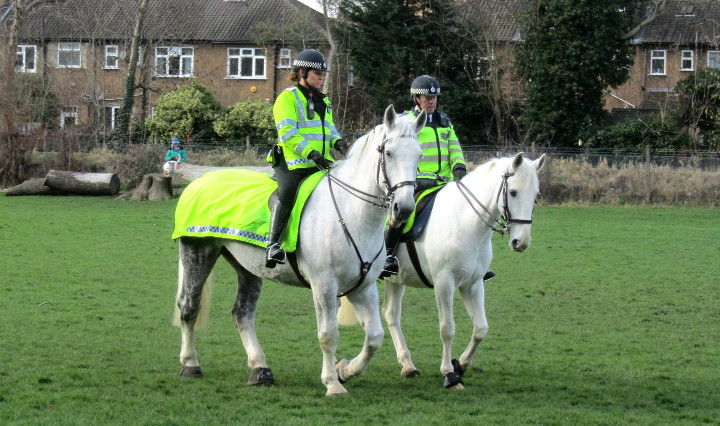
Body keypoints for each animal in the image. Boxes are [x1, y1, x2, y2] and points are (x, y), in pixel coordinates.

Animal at [172, 105, 424, 396]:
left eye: (419, 155)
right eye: (389, 153)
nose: (403, 209)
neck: (350, 213)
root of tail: (199, 182)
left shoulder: (363, 286)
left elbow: (374, 338)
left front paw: (345, 370)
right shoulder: (324, 285)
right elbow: (328, 335)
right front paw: (333, 383)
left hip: (247, 267)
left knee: (242, 313)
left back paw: (260, 368)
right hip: (198, 253)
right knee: (189, 306)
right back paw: (190, 364)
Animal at [338, 152, 544, 390]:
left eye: (535, 195)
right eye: (513, 192)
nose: (521, 241)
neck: (465, 222)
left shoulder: (473, 284)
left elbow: (481, 329)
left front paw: (460, 365)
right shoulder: (445, 284)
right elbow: (447, 329)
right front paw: (449, 374)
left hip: (396, 279)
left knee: (391, 313)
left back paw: (407, 365)